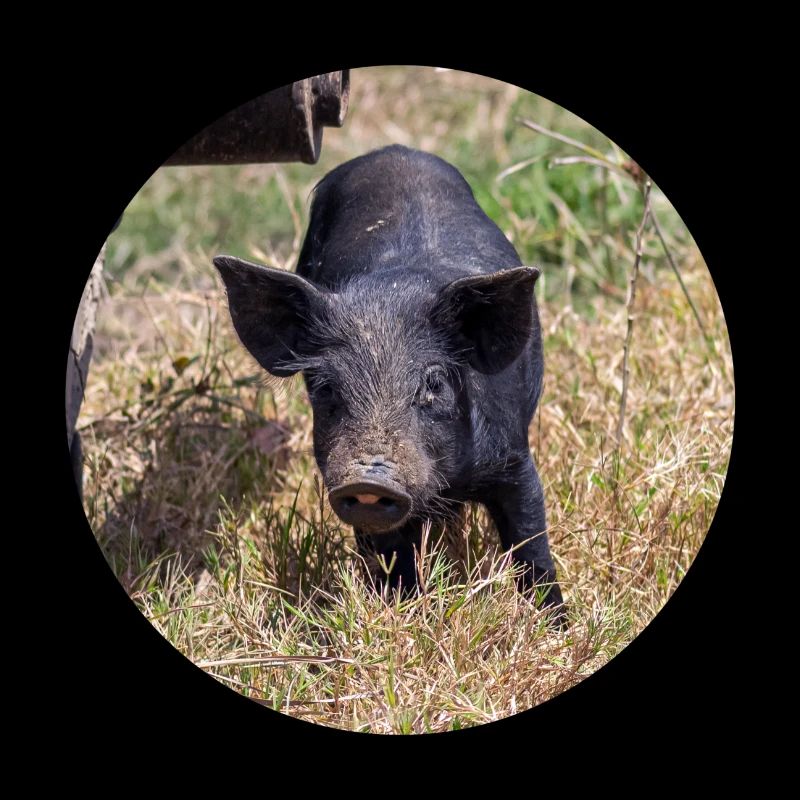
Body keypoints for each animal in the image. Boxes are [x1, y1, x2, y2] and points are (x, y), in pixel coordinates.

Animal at [214, 145, 565, 622]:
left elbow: (532, 545)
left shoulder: (513, 457)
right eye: (325, 388)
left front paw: (559, 626)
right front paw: (406, 613)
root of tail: (393, 151)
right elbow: (392, 561)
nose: (369, 480)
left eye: (433, 383)